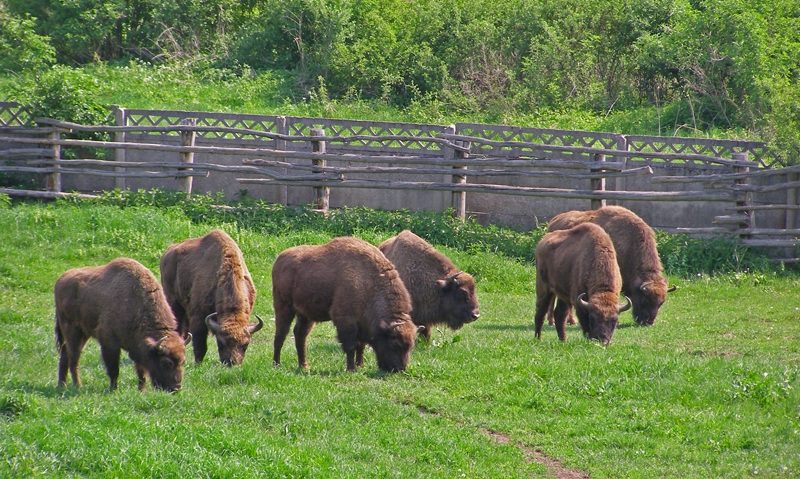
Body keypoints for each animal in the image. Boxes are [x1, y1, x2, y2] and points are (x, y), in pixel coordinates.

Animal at [53, 256, 188, 392]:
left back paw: (61, 385)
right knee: (73, 359)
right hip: (73, 332)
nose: (176, 388)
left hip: (82, 334)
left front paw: (142, 390)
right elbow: (114, 370)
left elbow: (141, 372)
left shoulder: (137, 348)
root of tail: (60, 280)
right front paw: (113, 389)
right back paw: (77, 386)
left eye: (183, 361)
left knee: (65, 356)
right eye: (166, 363)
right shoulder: (109, 343)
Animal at [159, 231, 262, 366]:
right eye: (221, 343)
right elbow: (200, 345)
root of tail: (167, 253)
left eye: (245, 345)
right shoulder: (198, 318)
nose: (232, 363)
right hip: (173, 302)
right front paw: (198, 363)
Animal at [272, 238, 416, 374]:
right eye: (394, 343)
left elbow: (361, 346)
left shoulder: (362, 324)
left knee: (300, 335)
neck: (369, 284)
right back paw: (277, 364)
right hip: (284, 308)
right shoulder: (345, 321)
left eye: (410, 346)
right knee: (280, 335)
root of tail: (279, 259)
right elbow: (351, 346)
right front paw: (351, 369)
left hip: (305, 315)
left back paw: (304, 366)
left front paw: (360, 365)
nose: (399, 369)